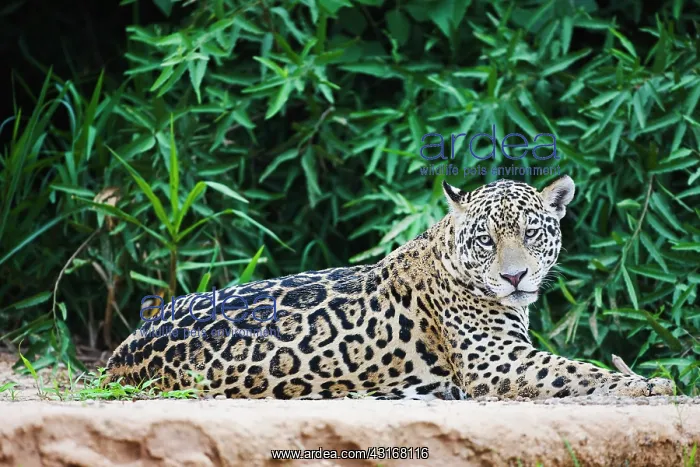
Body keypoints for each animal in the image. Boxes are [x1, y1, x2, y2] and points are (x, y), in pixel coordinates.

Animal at [105, 176, 674, 400]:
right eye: (486, 240)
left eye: (531, 233)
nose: (515, 277)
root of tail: (118, 355)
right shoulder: (495, 361)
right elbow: (575, 370)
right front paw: (647, 385)